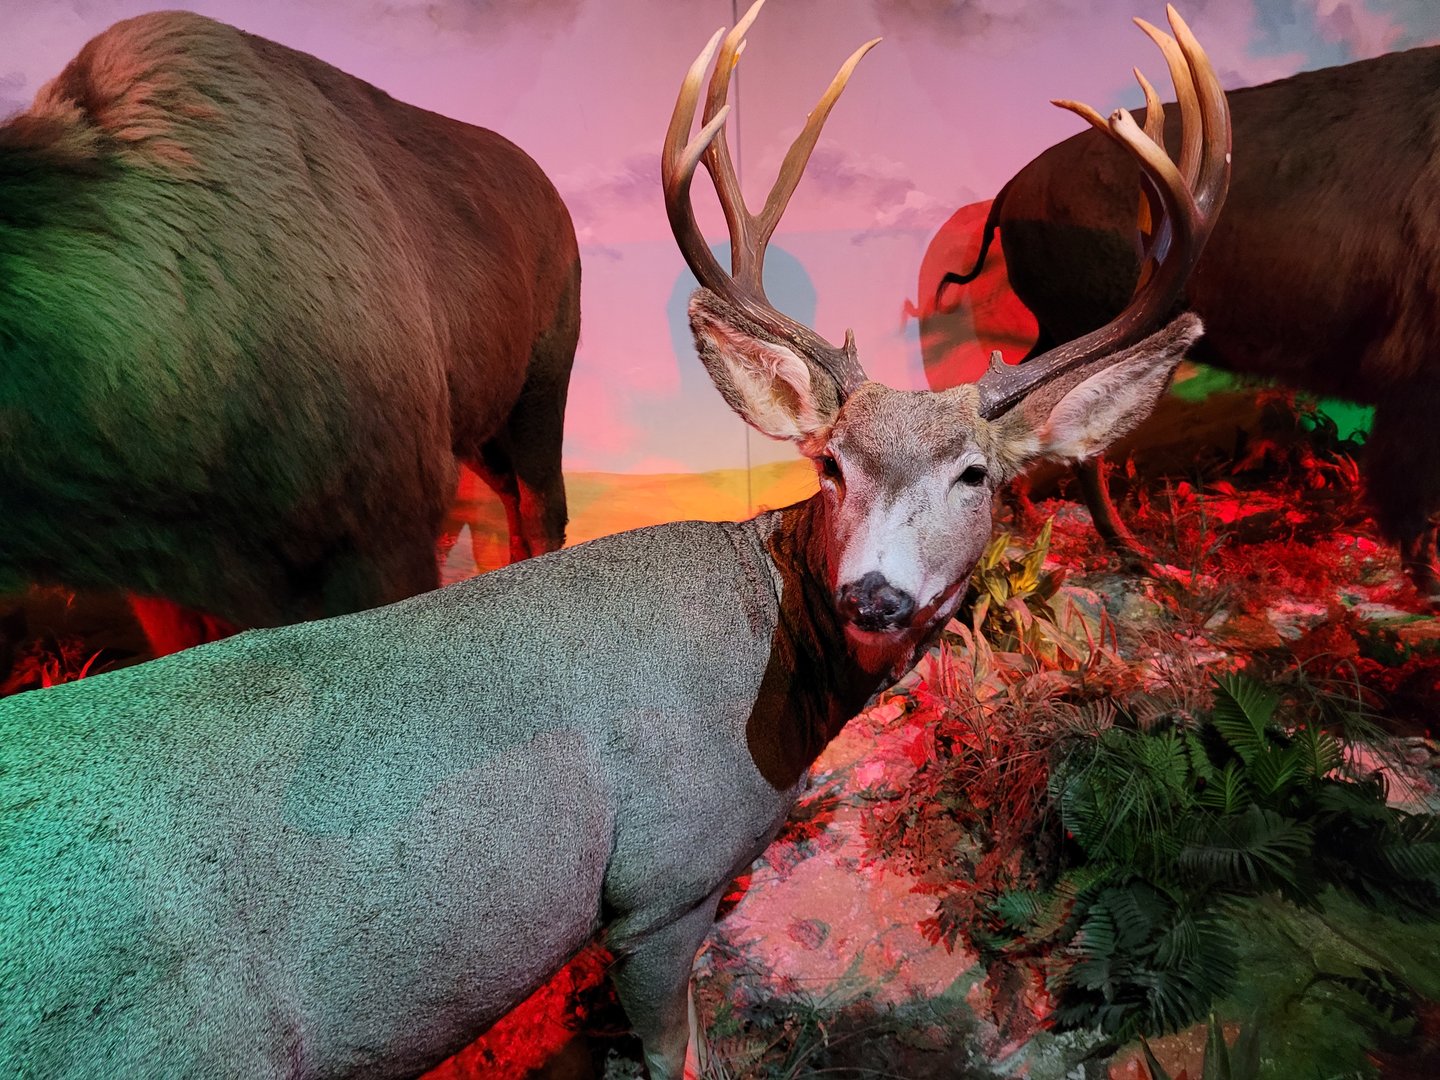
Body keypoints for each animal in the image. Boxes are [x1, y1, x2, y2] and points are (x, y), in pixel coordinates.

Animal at [0, 10, 579, 657]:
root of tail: (550, 194)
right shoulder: (166, 590)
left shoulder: (383, 532)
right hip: (481, 434)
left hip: (541, 390)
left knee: (542, 510)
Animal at [938, 40, 1440, 601]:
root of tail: (1008, 192)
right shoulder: (1417, 370)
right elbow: (1411, 488)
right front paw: (1426, 576)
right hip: (1081, 319)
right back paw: (1131, 551)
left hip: (1062, 325)